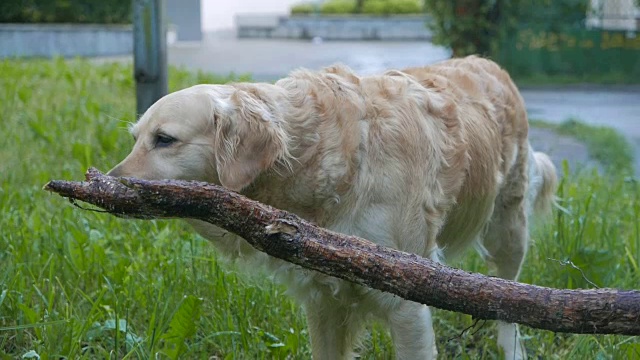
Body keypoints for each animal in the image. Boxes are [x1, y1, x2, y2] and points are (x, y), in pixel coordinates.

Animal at [109, 54, 556, 358]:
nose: (108, 181)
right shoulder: (323, 299)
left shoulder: (406, 304)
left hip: (508, 231)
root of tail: (489, 64)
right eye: (135, 138)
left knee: (509, 302)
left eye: (164, 139)